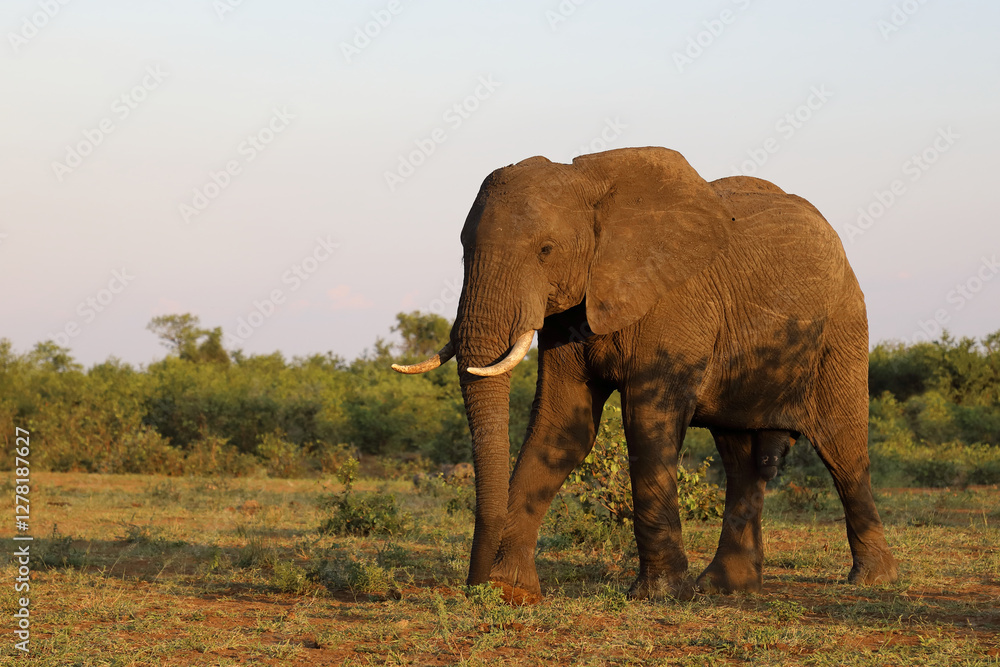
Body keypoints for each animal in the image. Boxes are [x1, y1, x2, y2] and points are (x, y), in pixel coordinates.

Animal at [393, 146, 898, 599]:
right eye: (463, 251)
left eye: (545, 250)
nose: (473, 583)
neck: (589, 181)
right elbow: (562, 427)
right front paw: (510, 590)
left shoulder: (675, 301)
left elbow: (647, 425)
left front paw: (658, 594)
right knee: (740, 457)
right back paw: (727, 589)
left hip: (843, 329)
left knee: (843, 448)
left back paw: (870, 580)